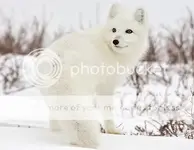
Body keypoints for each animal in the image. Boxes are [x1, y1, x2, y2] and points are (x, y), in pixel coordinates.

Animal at [39, 2, 149, 149]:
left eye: (129, 31)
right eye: (114, 30)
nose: (115, 41)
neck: (108, 48)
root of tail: (59, 60)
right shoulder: (106, 87)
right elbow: (108, 111)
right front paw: (112, 131)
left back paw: (56, 132)